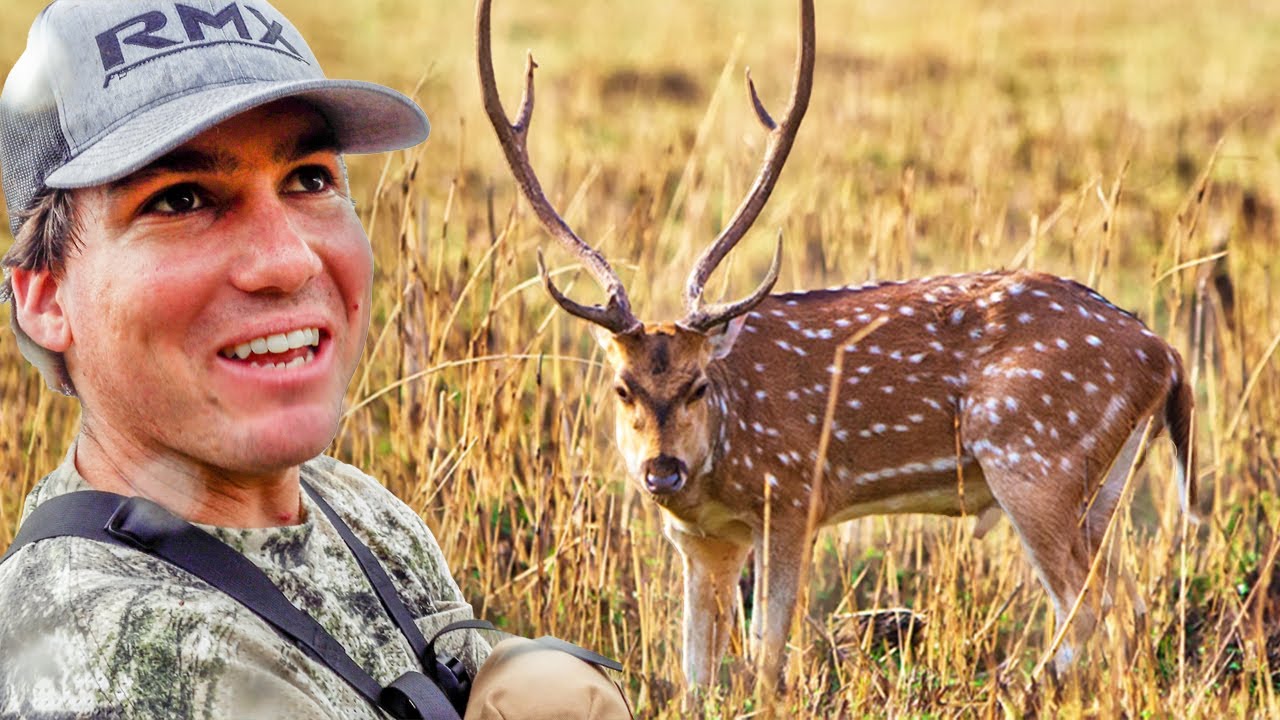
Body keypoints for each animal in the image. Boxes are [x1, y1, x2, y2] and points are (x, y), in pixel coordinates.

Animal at [477, 0, 1196, 691]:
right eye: (621, 388)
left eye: (698, 384)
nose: (661, 471)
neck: (726, 463)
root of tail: (1166, 356)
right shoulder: (699, 541)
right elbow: (694, 676)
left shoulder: (793, 499)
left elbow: (767, 660)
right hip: (1101, 485)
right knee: (1130, 608)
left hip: (1034, 459)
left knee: (1090, 609)